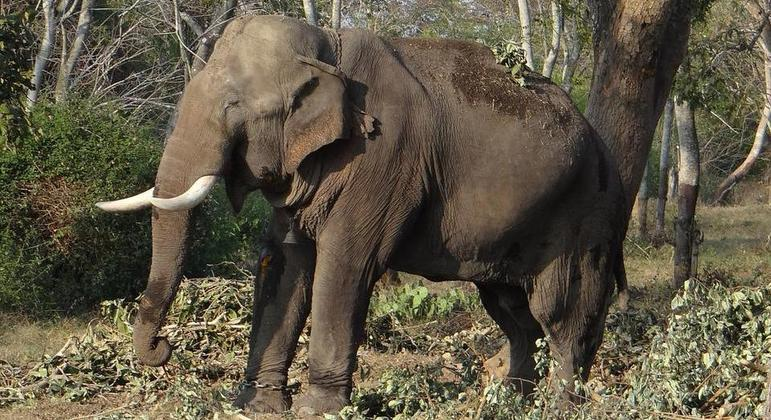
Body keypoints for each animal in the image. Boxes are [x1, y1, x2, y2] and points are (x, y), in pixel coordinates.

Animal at [96, 14, 628, 416]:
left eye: (234, 106)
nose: (162, 349)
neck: (327, 47)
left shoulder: (383, 158)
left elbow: (345, 265)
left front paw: (317, 410)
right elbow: (286, 264)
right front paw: (256, 405)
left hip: (587, 217)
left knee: (562, 313)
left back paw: (559, 407)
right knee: (513, 313)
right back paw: (510, 404)